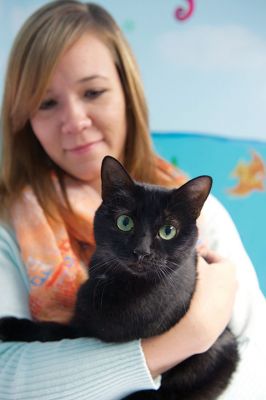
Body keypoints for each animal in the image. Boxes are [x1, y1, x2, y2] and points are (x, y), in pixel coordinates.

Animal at [0, 157, 238, 400]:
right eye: (124, 222)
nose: (141, 251)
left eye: (168, 230)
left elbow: (51, 330)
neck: (123, 287)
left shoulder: (88, 333)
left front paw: (8, 325)